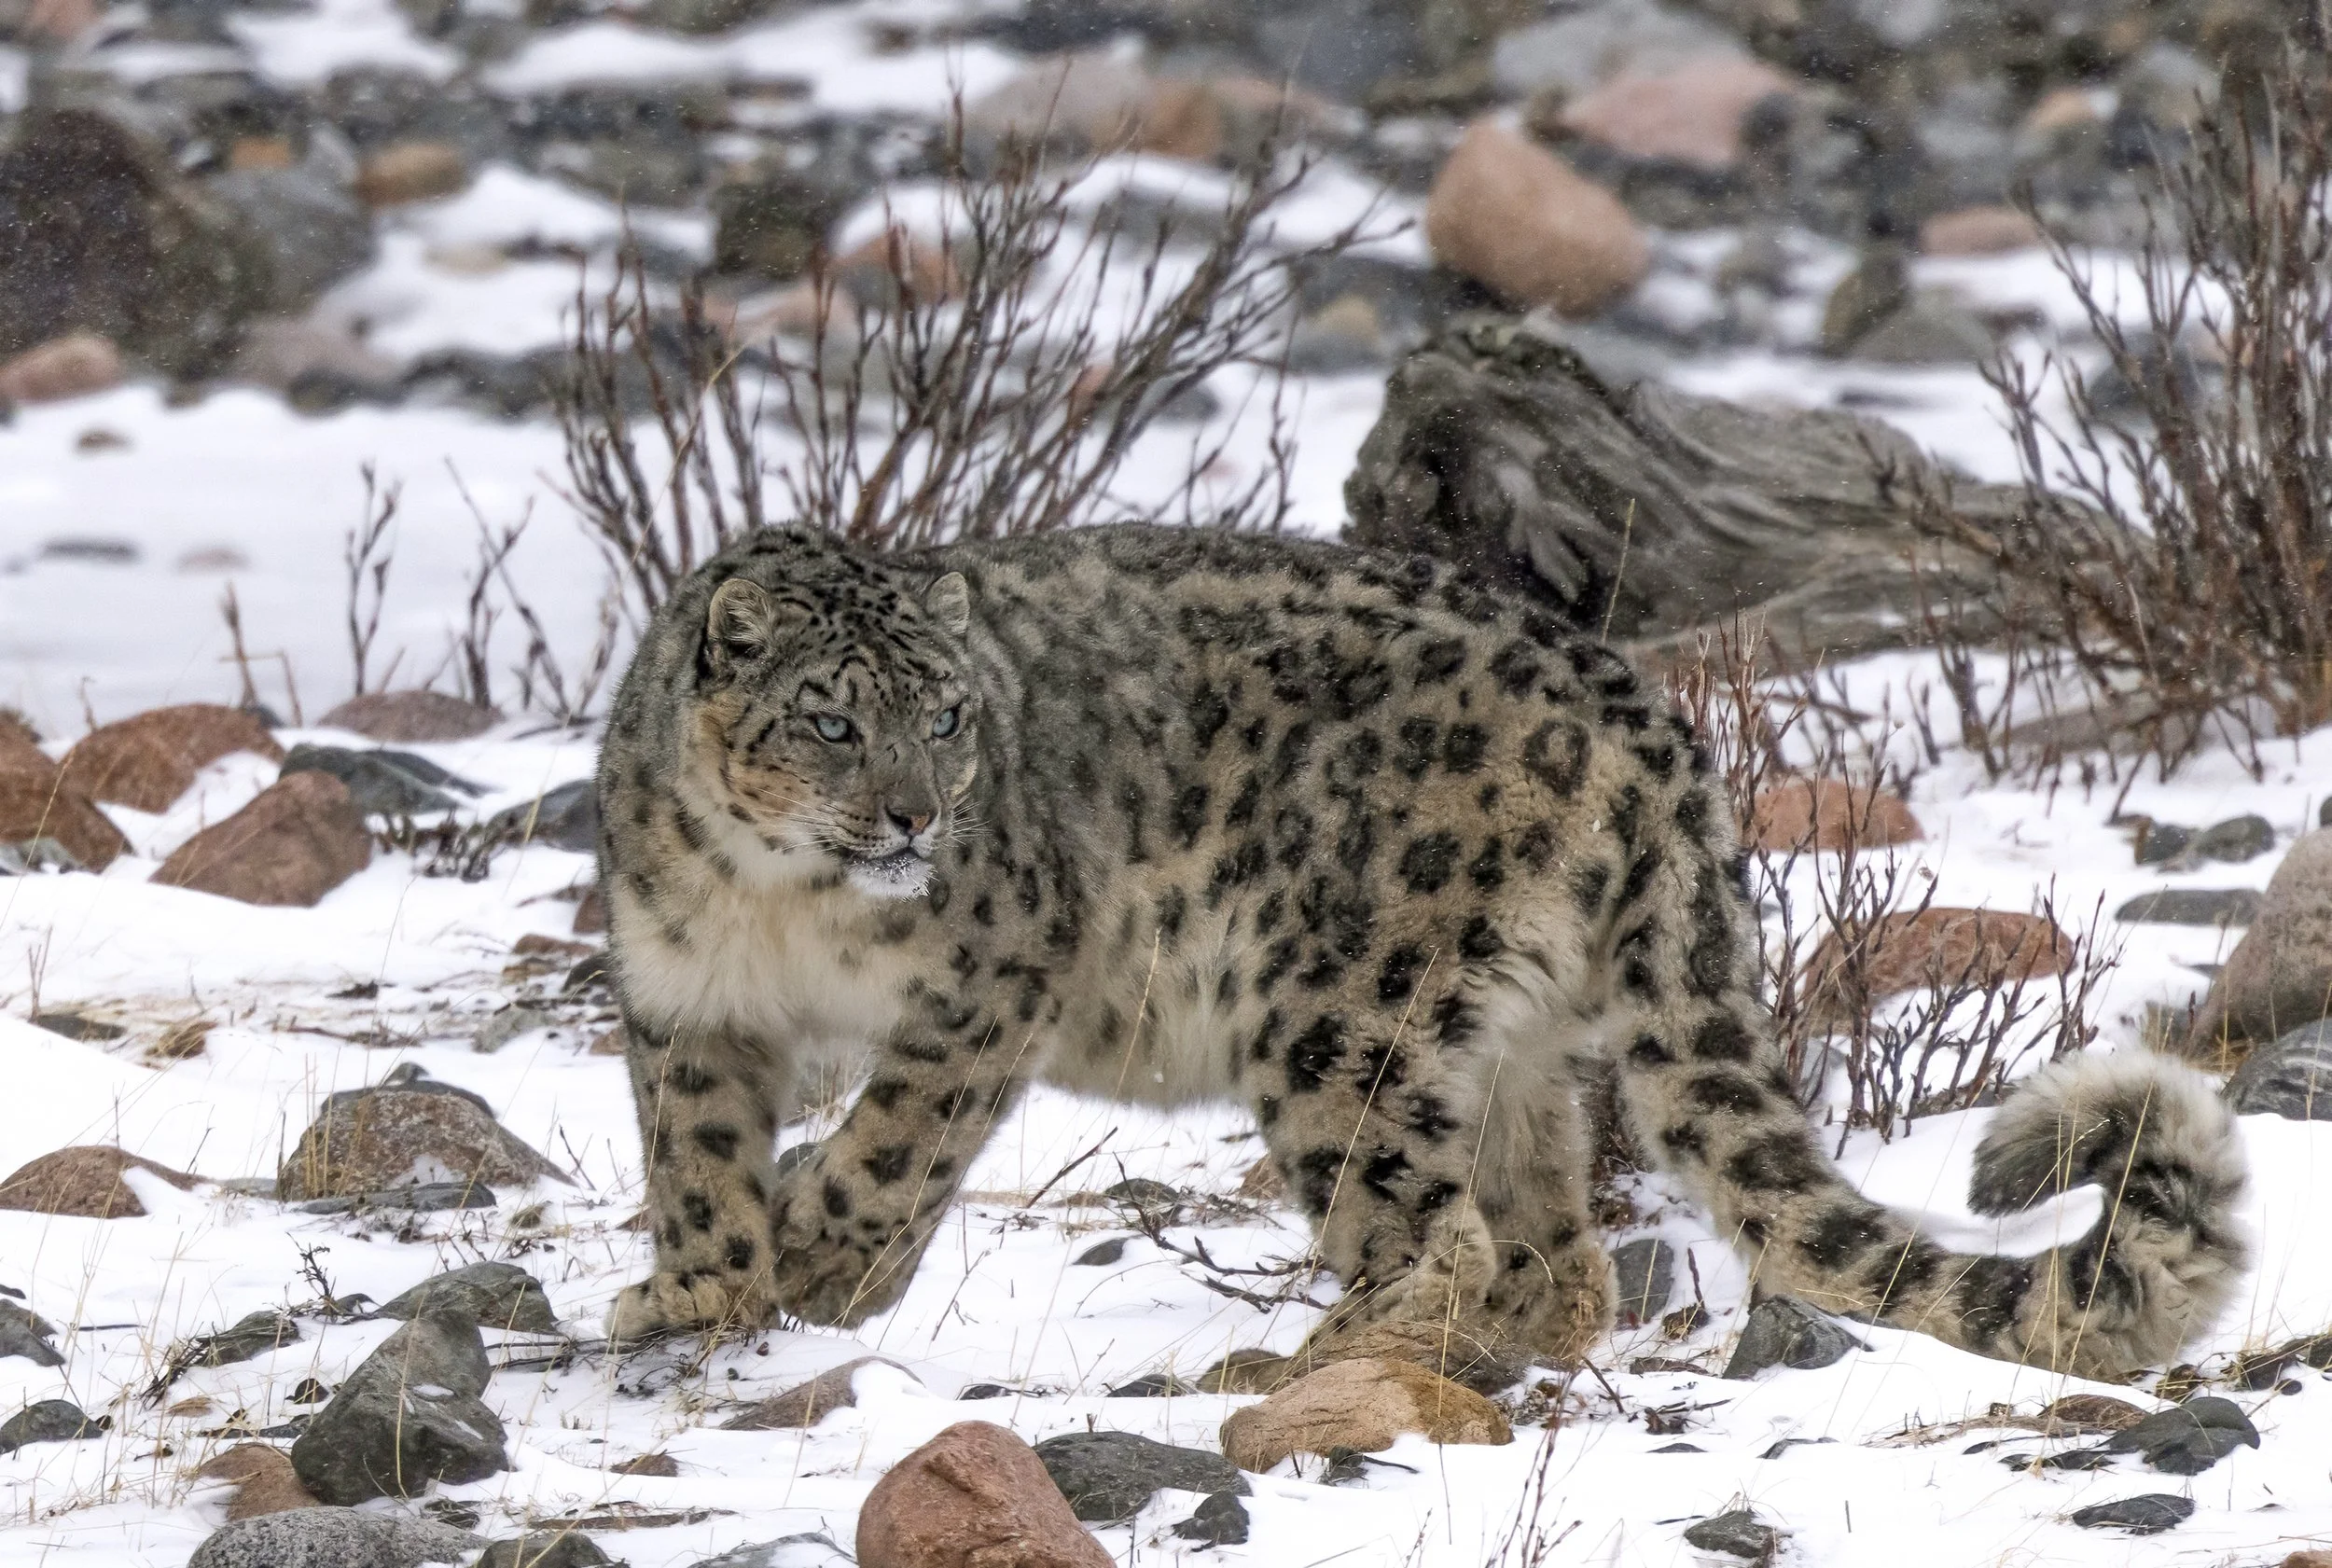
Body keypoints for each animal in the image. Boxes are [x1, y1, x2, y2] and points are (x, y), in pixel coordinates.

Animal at [596, 522, 2247, 1380]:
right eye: (832, 718)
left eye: (944, 714)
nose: (913, 814)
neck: (782, 904)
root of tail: (1636, 708)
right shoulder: (685, 1002)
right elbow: (694, 1157)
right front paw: (700, 1293)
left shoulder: (986, 980)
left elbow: (893, 1141)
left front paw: (819, 1259)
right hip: (1508, 1031)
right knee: (1552, 1240)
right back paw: (1490, 1336)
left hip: (1338, 1014)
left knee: (1430, 1228)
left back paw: (1300, 1360)